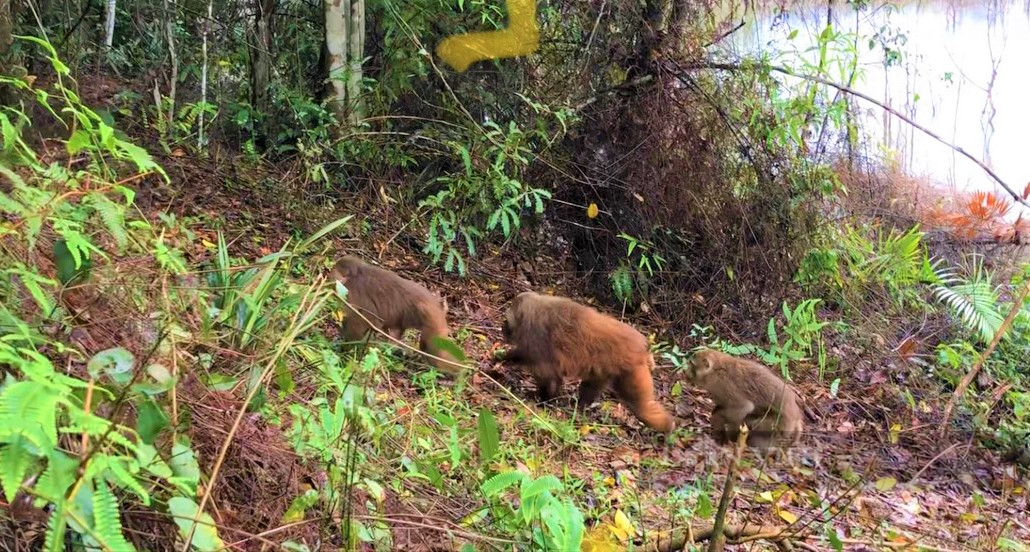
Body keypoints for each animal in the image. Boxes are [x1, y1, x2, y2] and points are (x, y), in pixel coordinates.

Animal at [331, 256, 465, 372]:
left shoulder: (354, 290)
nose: (330, 276)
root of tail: (438, 306)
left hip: (433, 322)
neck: (358, 272)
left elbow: (367, 321)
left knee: (431, 349)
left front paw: (345, 349)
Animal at [498, 290, 675, 432]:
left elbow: (548, 375)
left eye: (507, 321)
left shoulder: (535, 335)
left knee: (639, 405)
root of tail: (644, 348)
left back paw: (664, 425)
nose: (502, 329)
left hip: (632, 369)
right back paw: (582, 406)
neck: (533, 310)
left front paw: (544, 400)